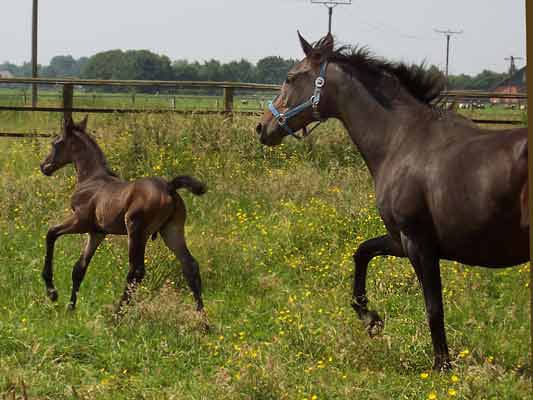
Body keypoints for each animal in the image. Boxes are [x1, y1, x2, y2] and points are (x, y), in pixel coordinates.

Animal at [39, 117, 206, 314]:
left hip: (136, 230)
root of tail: (169, 187)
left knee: (136, 271)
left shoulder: (81, 221)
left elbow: (51, 233)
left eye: (55, 143)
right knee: (190, 265)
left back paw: (118, 314)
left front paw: (52, 292)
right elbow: (79, 268)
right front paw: (70, 307)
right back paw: (202, 316)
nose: (44, 167)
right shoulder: (97, 232)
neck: (91, 179)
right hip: (172, 230)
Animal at [255, 32, 528, 370]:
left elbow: (433, 306)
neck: (402, 140)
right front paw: (369, 317)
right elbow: (362, 252)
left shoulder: (418, 242)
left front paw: (442, 366)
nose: (262, 127)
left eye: (290, 77)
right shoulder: (400, 240)